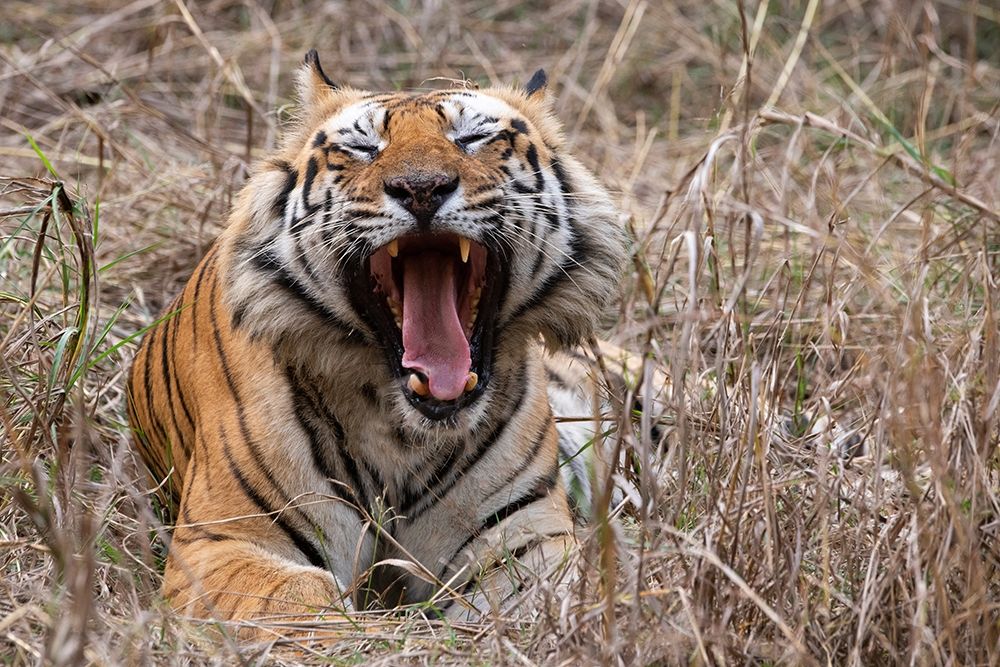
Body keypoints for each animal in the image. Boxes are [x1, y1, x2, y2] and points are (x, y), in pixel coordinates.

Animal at [126, 50, 627, 631]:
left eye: (473, 137)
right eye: (365, 147)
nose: (422, 188)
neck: (402, 434)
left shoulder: (526, 540)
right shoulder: (220, 542)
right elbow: (298, 595)